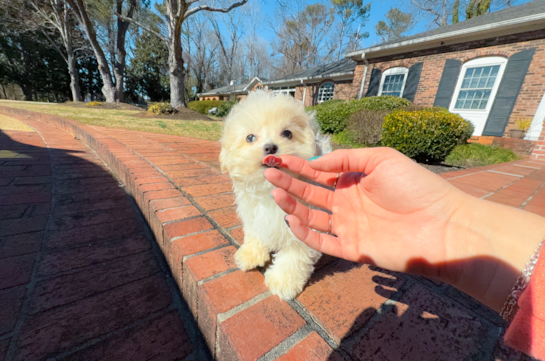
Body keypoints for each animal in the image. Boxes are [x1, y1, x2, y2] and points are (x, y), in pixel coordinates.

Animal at [218, 89, 330, 298]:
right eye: (250, 138)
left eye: (287, 133)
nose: (270, 147)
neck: (269, 191)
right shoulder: (253, 214)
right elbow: (255, 233)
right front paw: (250, 254)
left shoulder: (301, 226)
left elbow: (294, 255)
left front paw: (283, 281)